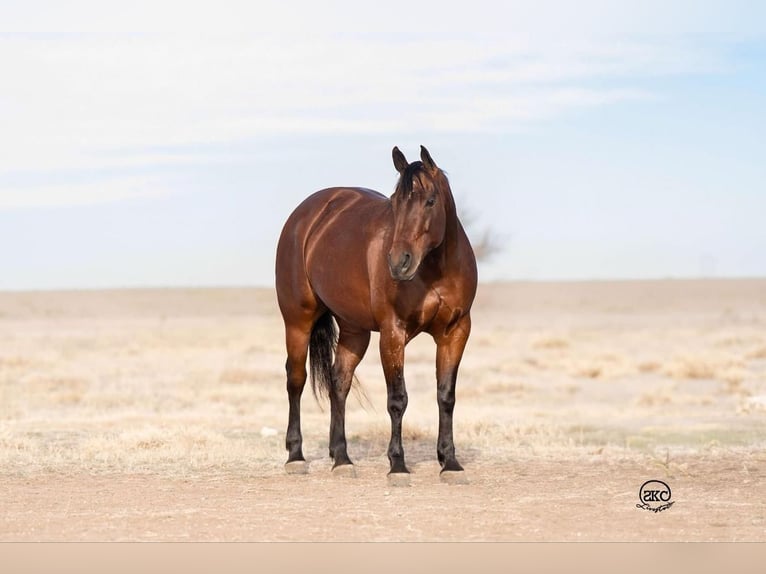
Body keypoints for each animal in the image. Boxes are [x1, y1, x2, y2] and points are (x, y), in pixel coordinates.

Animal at [276, 146, 476, 484]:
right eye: (395, 201)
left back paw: (342, 459)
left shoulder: (456, 332)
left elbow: (446, 396)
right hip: (298, 321)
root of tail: (307, 215)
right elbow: (398, 400)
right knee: (296, 380)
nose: (398, 262)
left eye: (430, 201)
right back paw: (296, 456)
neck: (435, 271)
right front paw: (398, 465)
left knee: (339, 382)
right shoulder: (393, 333)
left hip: (353, 330)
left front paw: (449, 462)